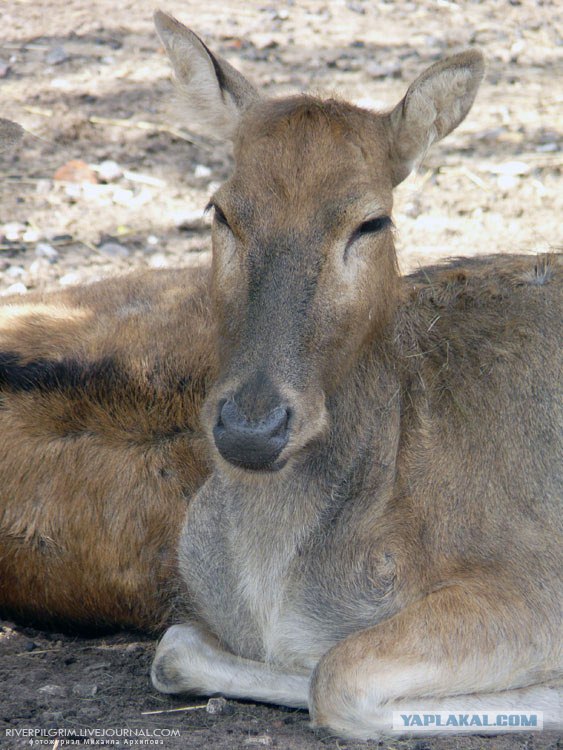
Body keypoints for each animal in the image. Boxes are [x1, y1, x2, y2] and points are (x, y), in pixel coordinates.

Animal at [151, 10, 563, 740]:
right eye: (219, 210)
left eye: (372, 221)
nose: (252, 428)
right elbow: (173, 649)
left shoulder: (536, 581)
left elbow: (337, 675)